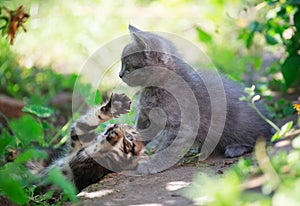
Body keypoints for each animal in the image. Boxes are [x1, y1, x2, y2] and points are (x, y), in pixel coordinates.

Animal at [119, 25, 272, 174]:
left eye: (129, 67)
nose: (119, 75)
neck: (156, 89)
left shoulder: (182, 126)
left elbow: (167, 149)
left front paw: (152, 164)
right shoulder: (147, 117)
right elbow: (140, 132)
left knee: (261, 138)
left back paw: (236, 147)